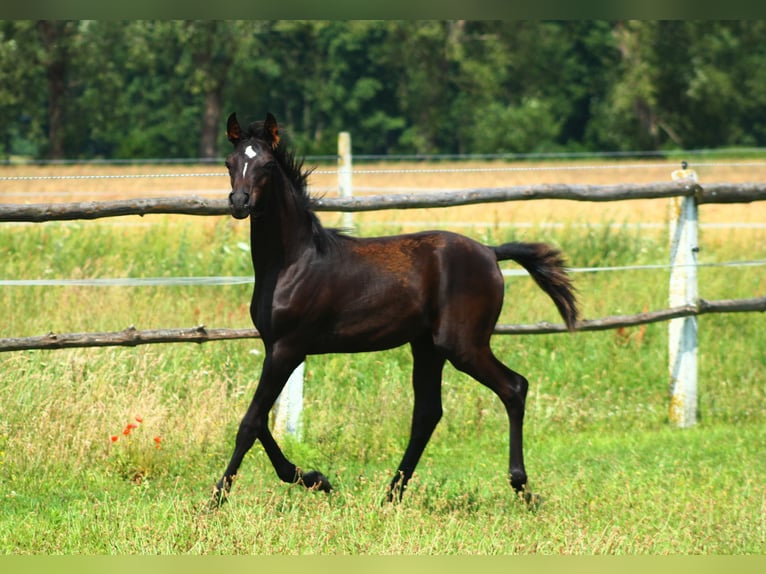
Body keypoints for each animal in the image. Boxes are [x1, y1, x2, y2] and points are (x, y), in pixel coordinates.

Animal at [213, 112, 580, 508]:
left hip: (462, 345)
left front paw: (216, 497)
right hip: (428, 346)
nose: (239, 202)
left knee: (514, 387)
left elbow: (250, 422)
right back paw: (392, 493)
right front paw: (315, 479)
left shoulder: (287, 349)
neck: (294, 260)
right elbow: (262, 421)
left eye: (266, 164)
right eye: (230, 163)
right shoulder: (275, 348)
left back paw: (521, 486)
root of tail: (490, 252)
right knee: (428, 413)